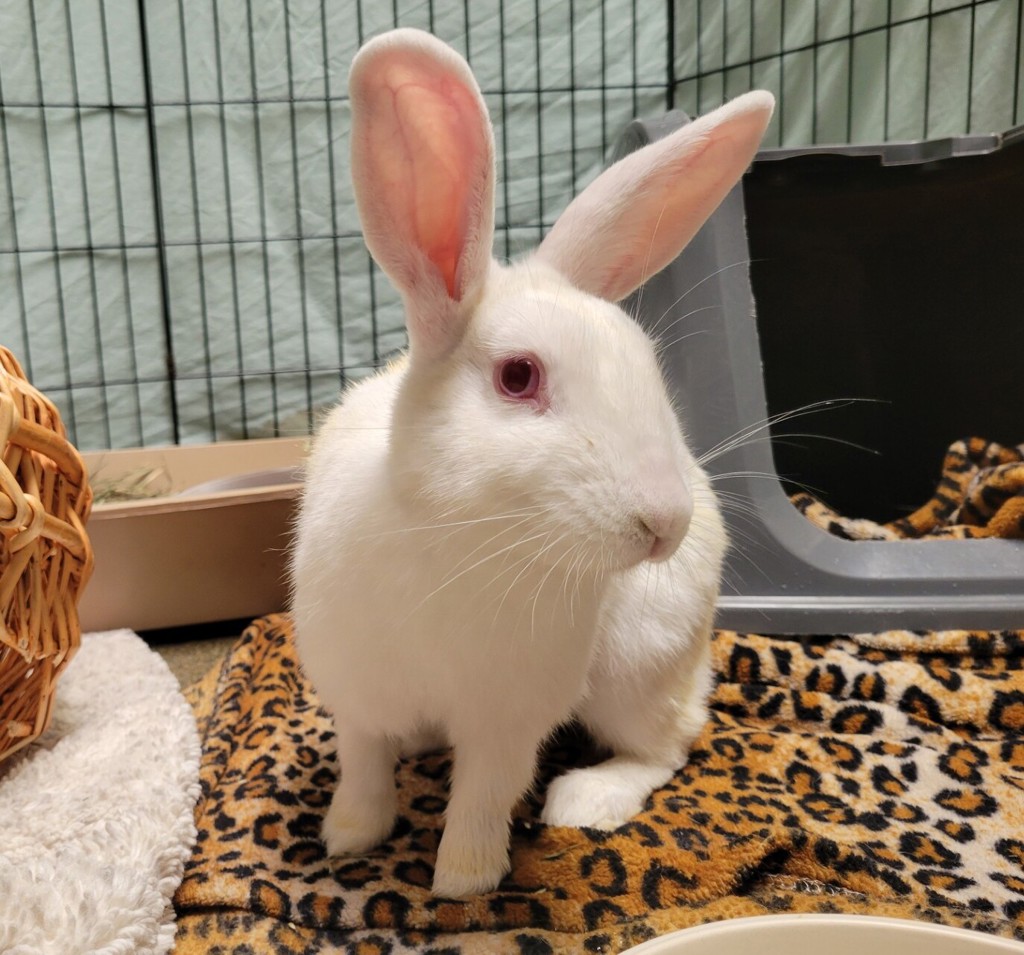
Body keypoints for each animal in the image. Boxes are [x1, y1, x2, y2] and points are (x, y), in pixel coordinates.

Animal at [291, 27, 774, 899]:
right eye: (518, 376)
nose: (667, 523)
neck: (453, 542)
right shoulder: (357, 694)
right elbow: (364, 766)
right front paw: (347, 837)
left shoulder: (507, 717)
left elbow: (483, 794)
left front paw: (463, 881)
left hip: (638, 666)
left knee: (670, 741)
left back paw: (587, 798)